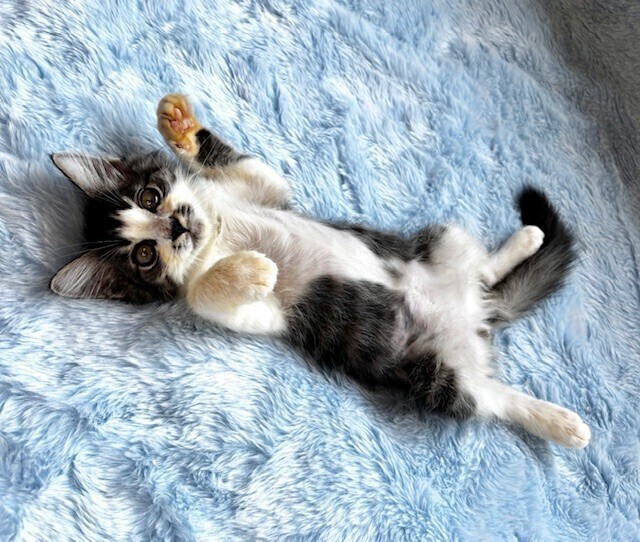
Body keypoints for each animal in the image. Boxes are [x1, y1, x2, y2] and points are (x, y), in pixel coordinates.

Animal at [49, 93, 590, 449]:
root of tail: (478, 318)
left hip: (442, 241)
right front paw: (248, 270)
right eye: (144, 256)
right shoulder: (276, 317)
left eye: (150, 196)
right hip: (441, 378)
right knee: (494, 399)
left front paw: (178, 123)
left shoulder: (263, 192)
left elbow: (253, 167)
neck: (219, 231)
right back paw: (565, 424)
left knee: (481, 269)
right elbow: (205, 295)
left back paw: (527, 238)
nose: (177, 227)